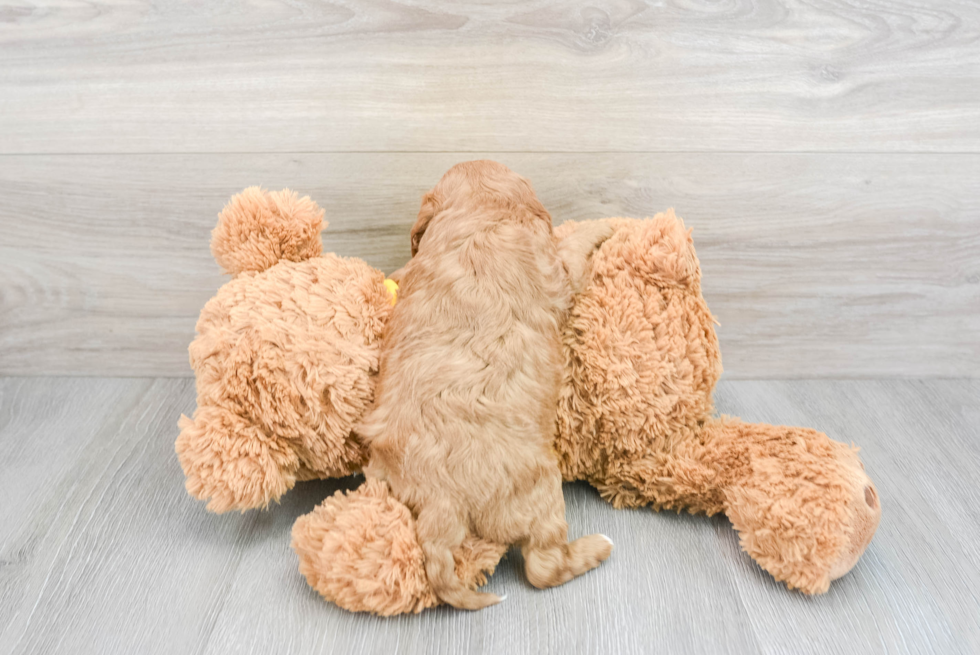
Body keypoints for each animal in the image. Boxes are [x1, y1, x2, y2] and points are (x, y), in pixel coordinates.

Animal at [360, 161, 612, 612]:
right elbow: (571, 247)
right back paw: (596, 546)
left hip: (382, 480)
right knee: (543, 565)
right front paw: (601, 226)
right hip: (540, 491)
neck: (482, 216)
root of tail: (440, 502)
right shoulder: (558, 271)